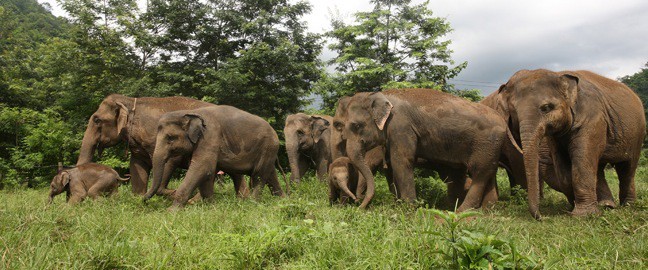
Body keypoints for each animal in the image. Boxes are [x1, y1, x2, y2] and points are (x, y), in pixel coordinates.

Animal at [144, 105, 286, 209]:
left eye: (170, 138)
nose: (143, 200)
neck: (189, 112)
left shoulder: (209, 136)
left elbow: (202, 168)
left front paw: (171, 212)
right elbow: (207, 173)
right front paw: (211, 207)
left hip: (267, 147)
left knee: (258, 175)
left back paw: (252, 204)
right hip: (268, 151)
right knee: (270, 175)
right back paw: (282, 200)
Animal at [494, 69, 644, 219]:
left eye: (546, 107)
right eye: (514, 113)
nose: (541, 217)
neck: (558, 74)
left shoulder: (593, 119)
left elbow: (582, 162)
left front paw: (583, 215)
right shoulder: (555, 137)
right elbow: (564, 169)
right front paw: (573, 207)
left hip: (637, 134)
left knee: (627, 168)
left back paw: (628, 206)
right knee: (599, 167)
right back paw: (606, 205)